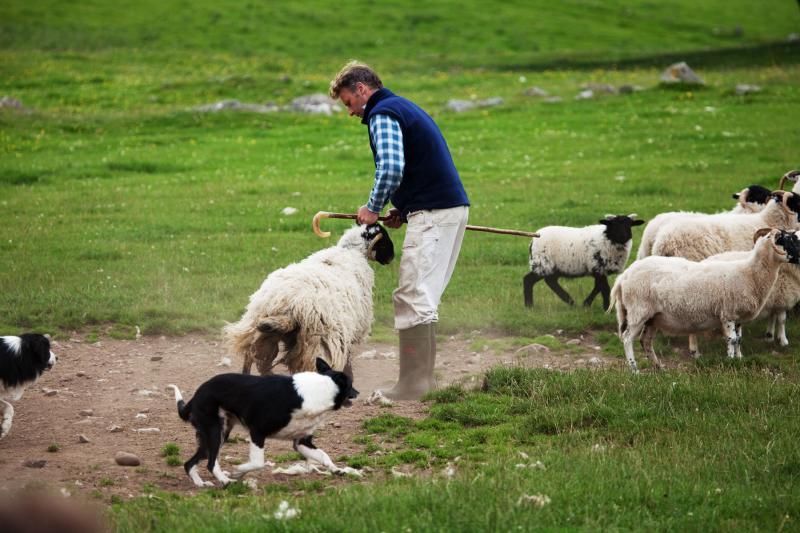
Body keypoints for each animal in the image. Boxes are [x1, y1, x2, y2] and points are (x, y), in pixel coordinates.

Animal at [167, 358, 358, 486]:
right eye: (350, 384)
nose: (358, 392)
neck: (320, 389)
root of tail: (197, 394)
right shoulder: (257, 432)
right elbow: (258, 462)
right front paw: (239, 471)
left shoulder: (301, 442)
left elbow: (324, 455)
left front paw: (336, 469)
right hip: (215, 432)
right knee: (211, 462)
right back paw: (225, 480)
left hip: (217, 435)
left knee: (189, 463)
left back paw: (200, 484)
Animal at [223, 222, 396, 376]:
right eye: (385, 238)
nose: (392, 257)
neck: (350, 252)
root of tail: (288, 303)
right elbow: (347, 362)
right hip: (320, 344)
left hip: (260, 333)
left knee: (253, 360)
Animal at [520, 214, 648, 310]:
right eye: (614, 225)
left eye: (629, 225)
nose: (623, 236)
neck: (608, 239)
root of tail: (534, 239)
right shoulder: (598, 266)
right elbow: (604, 288)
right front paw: (606, 307)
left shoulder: (599, 269)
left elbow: (598, 287)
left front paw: (586, 304)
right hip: (542, 263)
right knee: (528, 280)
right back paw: (529, 306)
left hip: (552, 267)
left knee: (551, 281)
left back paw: (569, 301)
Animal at [608, 227, 796, 372]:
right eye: (786, 240)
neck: (749, 272)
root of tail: (624, 276)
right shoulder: (727, 314)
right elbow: (732, 339)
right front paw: (730, 362)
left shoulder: (737, 317)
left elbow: (738, 340)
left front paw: (738, 360)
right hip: (638, 312)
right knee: (627, 338)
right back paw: (634, 370)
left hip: (653, 317)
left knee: (645, 341)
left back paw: (659, 367)